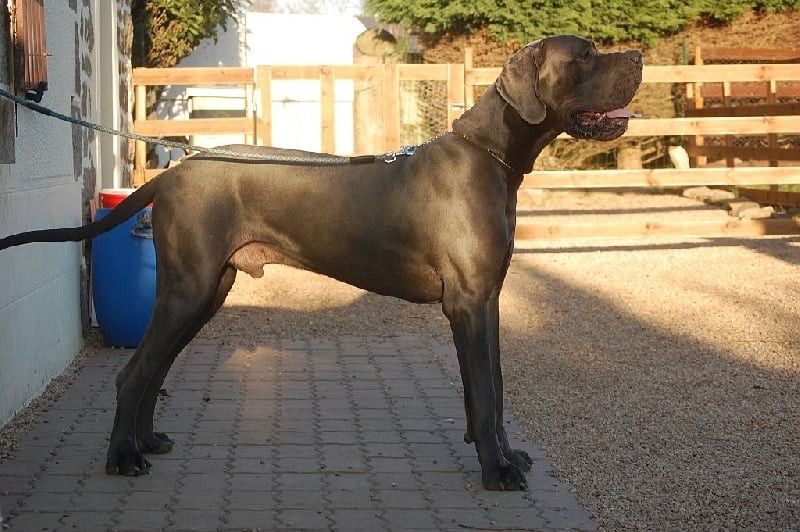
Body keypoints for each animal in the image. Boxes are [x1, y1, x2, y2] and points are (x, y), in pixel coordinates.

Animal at [0, 35, 642, 490]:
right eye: (585, 55)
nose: (637, 56)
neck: (491, 155)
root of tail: (172, 171)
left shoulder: (488, 302)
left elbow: (496, 388)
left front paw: (506, 455)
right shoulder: (470, 301)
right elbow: (486, 393)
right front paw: (496, 470)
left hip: (207, 289)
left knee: (153, 371)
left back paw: (147, 442)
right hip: (188, 287)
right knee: (133, 373)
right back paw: (122, 458)